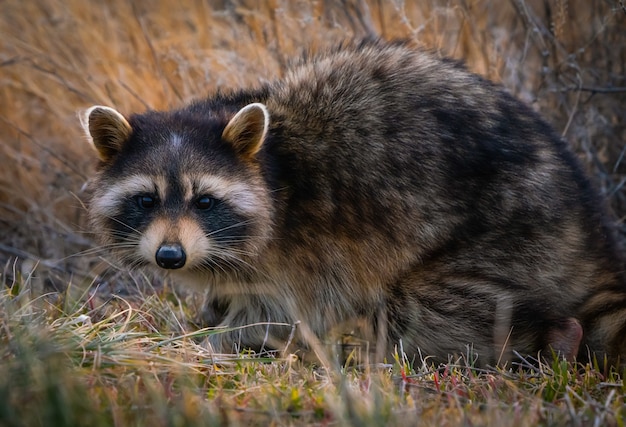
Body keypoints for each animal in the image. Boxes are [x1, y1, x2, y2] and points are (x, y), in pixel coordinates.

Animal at [79, 39, 624, 368]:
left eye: (205, 202)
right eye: (146, 199)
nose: (170, 256)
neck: (273, 167)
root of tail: (588, 230)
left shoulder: (305, 251)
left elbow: (274, 315)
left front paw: (204, 346)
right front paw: (207, 316)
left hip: (510, 236)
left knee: (430, 310)